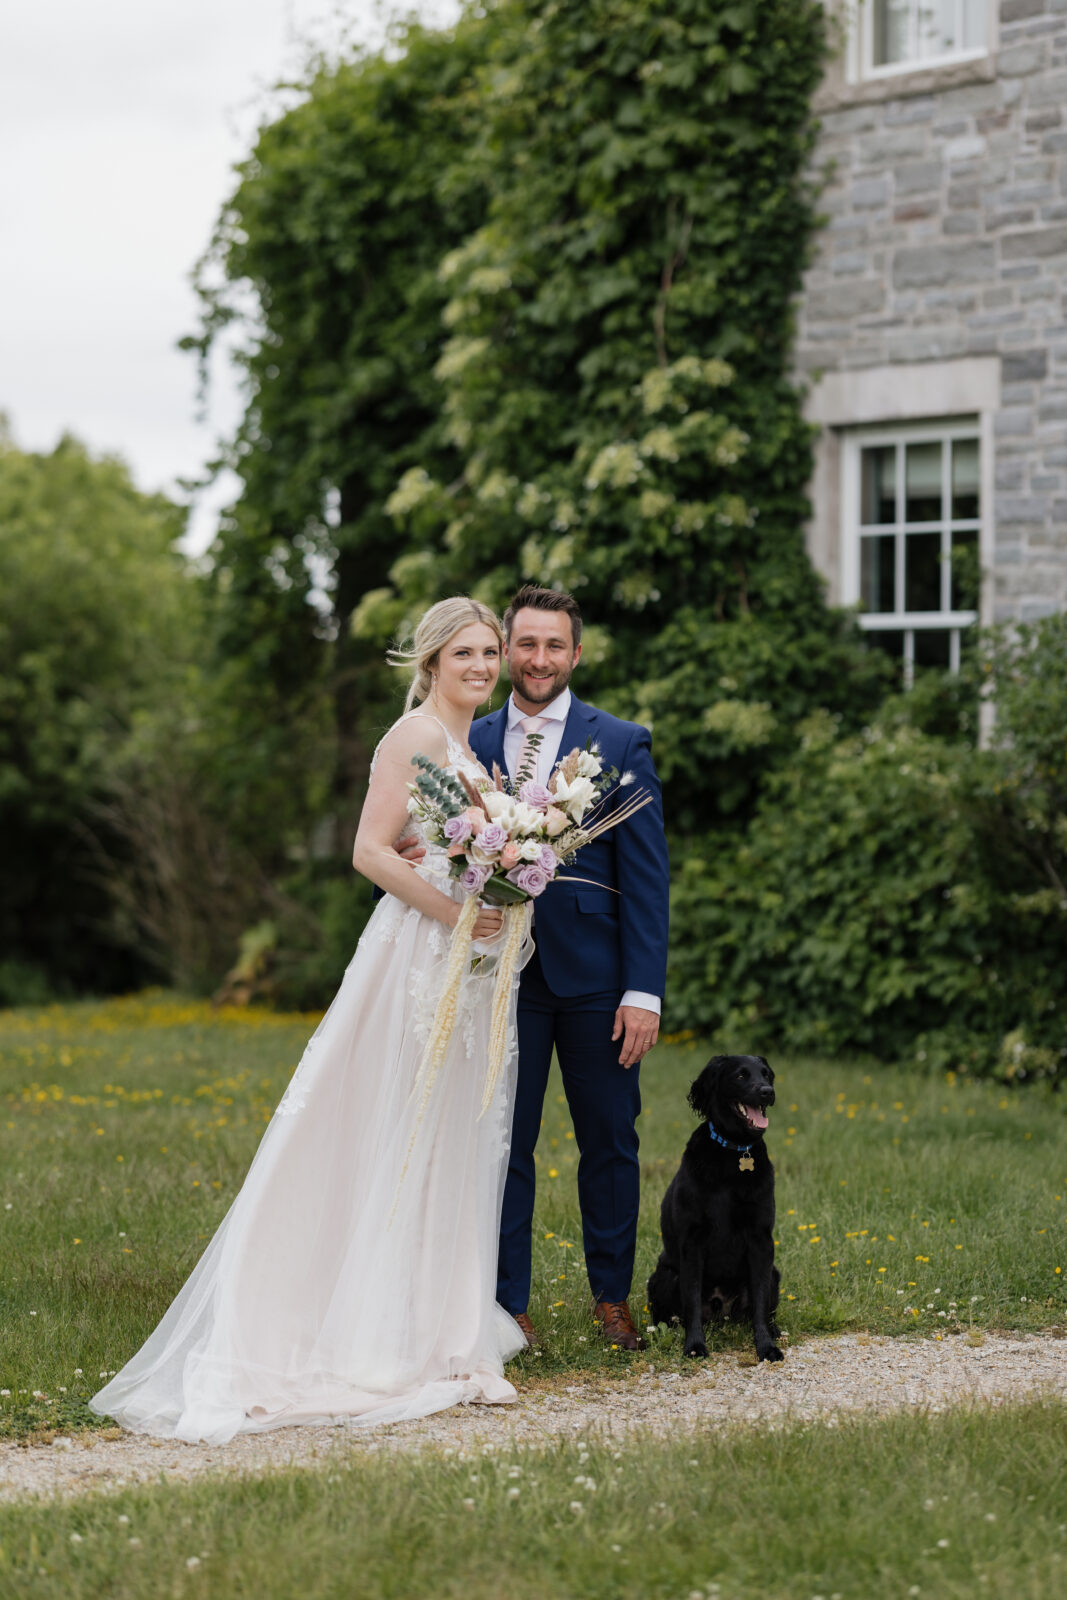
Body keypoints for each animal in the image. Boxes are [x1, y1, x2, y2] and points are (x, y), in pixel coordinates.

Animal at [643, 1056, 783, 1356]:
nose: (767, 1091)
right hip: (664, 1276)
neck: (734, 1153)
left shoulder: (761, 1240)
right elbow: (692, 1302)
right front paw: (695, 1345)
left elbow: (761, 1303)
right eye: (741, 1075)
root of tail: (722, 1312)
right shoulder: (692, 1242)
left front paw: (766, 1346)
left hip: (773, 1272)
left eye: (767, 1075)